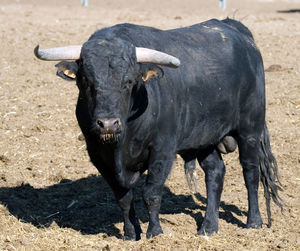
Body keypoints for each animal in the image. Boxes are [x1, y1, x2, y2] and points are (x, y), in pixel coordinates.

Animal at [34, 18, 282, 240]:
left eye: (129, 81)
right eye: (86, 80)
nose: (108, 124)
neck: (123, 142)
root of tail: (234, 28)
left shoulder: (162, 149)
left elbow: (151, 193)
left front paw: (155, 233)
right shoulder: (98, 155)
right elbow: (123, 198)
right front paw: (131, 234)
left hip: (250, 129)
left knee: (250, 171)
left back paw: (253, 222)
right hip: (204, 137)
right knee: (215, 173)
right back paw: (208, 227)